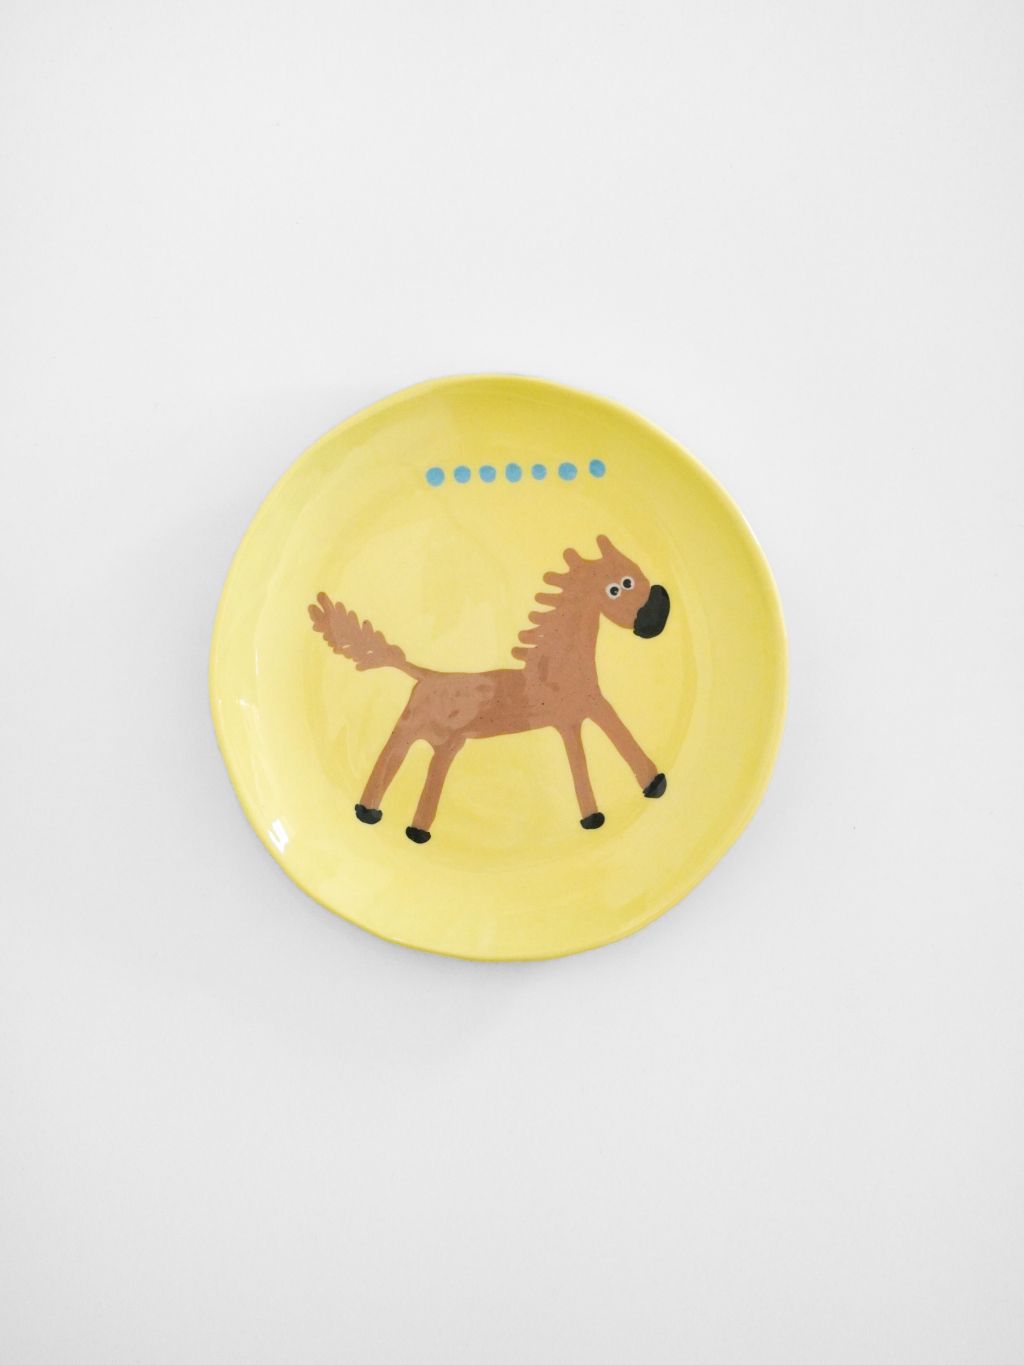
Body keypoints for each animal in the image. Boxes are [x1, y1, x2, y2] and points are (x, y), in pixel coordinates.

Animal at [308, 534, 670, 843]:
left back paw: (387, 818)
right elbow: (597, 748)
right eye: (618, 587)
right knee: (399, 757)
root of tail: (425, 674)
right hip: (430, 733)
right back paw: (396, 822)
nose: (659, 613)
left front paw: (642, 789)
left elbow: (607, 741)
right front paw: (613, 805)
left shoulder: (583, 711)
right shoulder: (578, 713)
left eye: (636, 573)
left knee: (404, 758)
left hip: (435, 736)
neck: (558, 666)